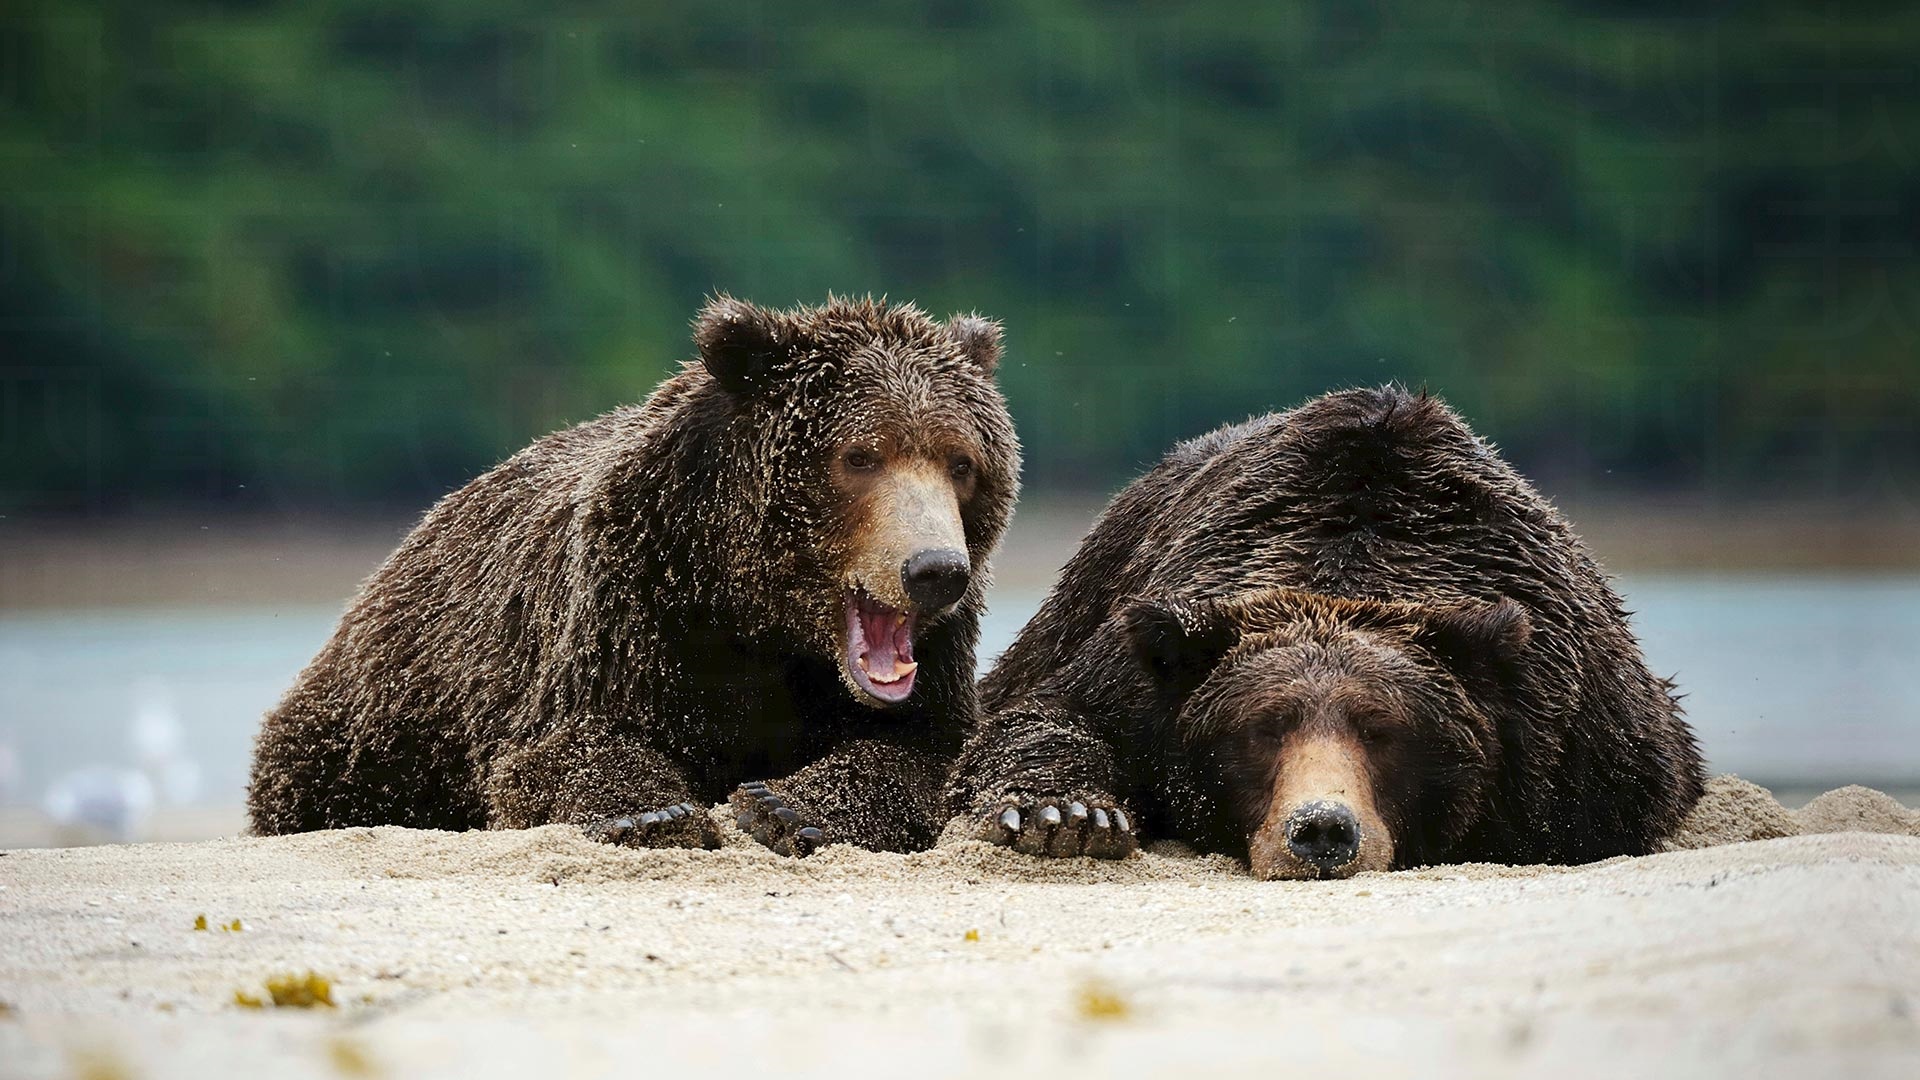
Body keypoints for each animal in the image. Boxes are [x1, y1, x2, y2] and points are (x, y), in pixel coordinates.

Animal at [251, 292, 1021, 849]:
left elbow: (927, 750)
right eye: (861, 456)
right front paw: (650, 813)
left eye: (961, 462)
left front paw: (787, 804)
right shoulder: (634, 606)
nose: (934, 570)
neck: (757, 613)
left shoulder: (936, 660)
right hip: (382, 720)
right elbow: (562, 746)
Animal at [952, 384, 1704, 876]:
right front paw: (1068, 818)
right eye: (1262, 728)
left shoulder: (1572, 732)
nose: (1320, 829)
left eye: (1384, 729)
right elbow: (1050, 716)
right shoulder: (1145, 669)